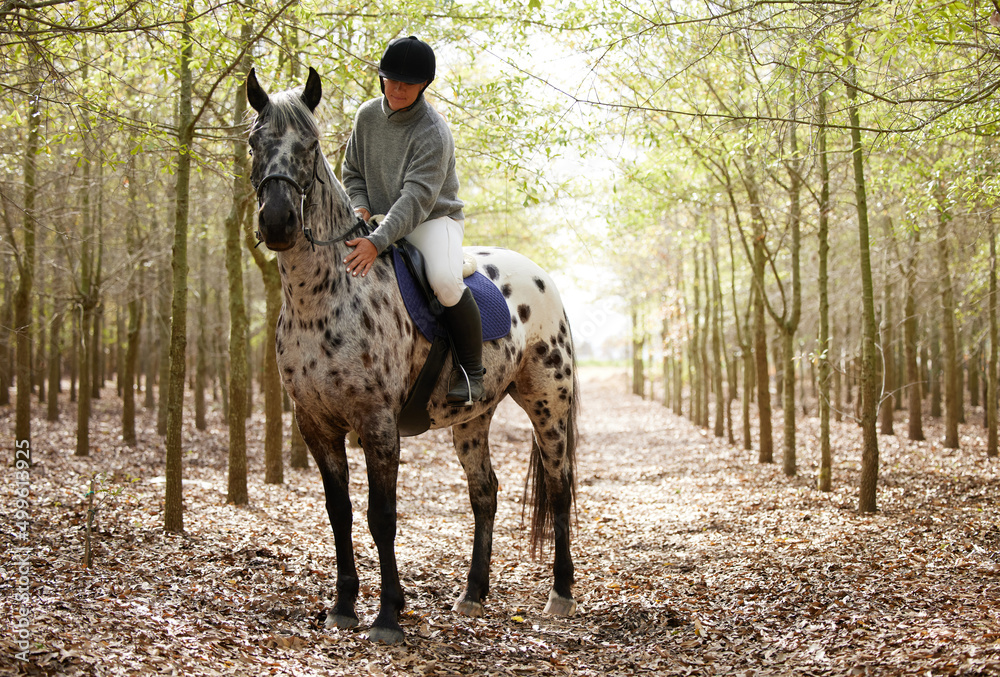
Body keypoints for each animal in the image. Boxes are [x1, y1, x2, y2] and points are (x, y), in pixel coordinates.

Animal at [245, 68, 584, 644]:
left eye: (310, 145)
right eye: (254, 142)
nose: (278, 224)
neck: (325, 297)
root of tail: (540, 276)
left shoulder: (377, 424)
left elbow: (382, 517)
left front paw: (387, 616)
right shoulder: (315, 424)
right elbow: (340, 512)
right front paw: (343, 606)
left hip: (548, 406)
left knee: (559, 487)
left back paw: (559, 595)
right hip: (472, 419)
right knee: (484, 492)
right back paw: (473, 595)